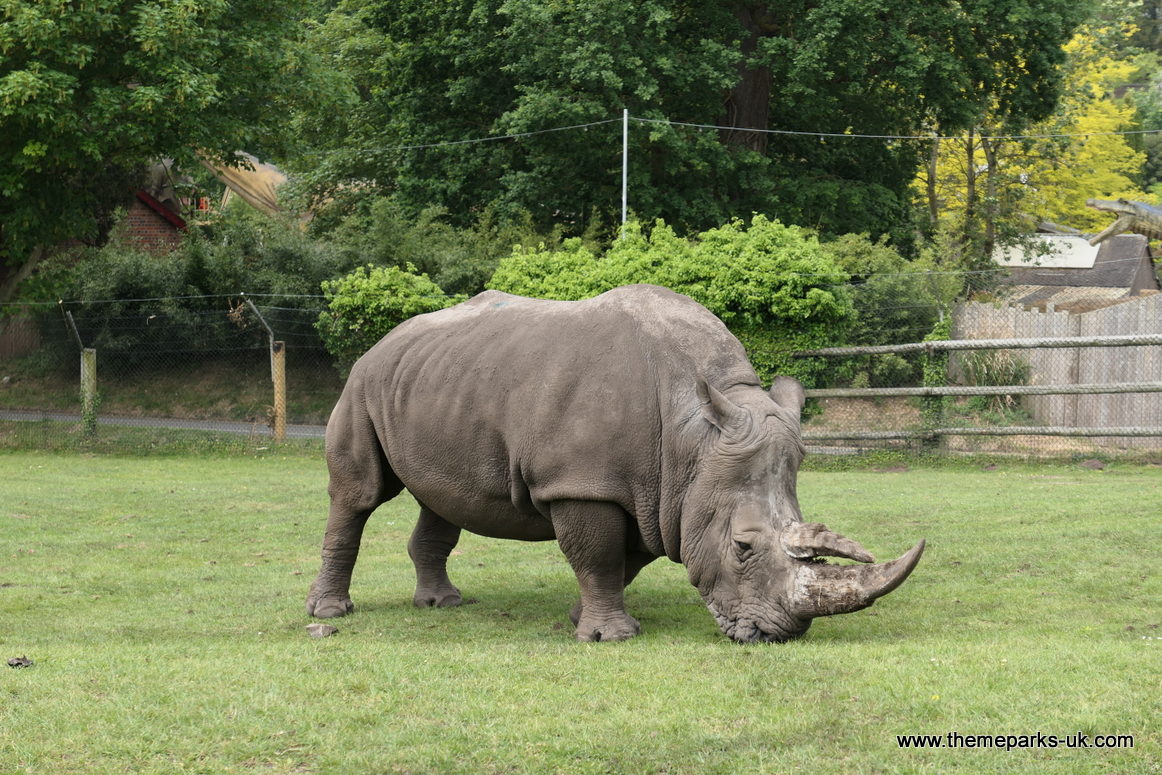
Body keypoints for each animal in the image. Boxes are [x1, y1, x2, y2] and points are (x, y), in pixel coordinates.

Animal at [307, 284, 924, 642]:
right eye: (742, 547)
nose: (778, 635)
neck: (692, 437)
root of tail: (386, 339)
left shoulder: (659, 493)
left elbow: (623, 560)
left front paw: (581, 619)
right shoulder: (585, 483)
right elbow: (598, 555)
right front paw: (612, 638)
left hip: (438, 384)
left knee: (443, 498)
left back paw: (441, 605)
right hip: (363, 383)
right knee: (359, 495)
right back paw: (331, 614)